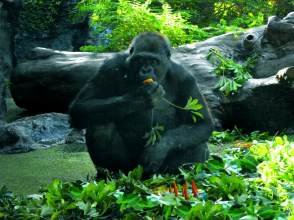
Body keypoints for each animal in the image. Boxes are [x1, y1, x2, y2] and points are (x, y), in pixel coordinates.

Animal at [68, 32, 212, 175]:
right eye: (140, 60)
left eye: (154, 61)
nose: (146, 70)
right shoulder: (109, 67)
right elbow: (80, 106)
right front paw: (141, 98)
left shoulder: (186, 78)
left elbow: (202, 123)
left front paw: (158, 149)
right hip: (130, 169)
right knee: (100, 124)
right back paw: (109, 174)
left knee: (197, 144)